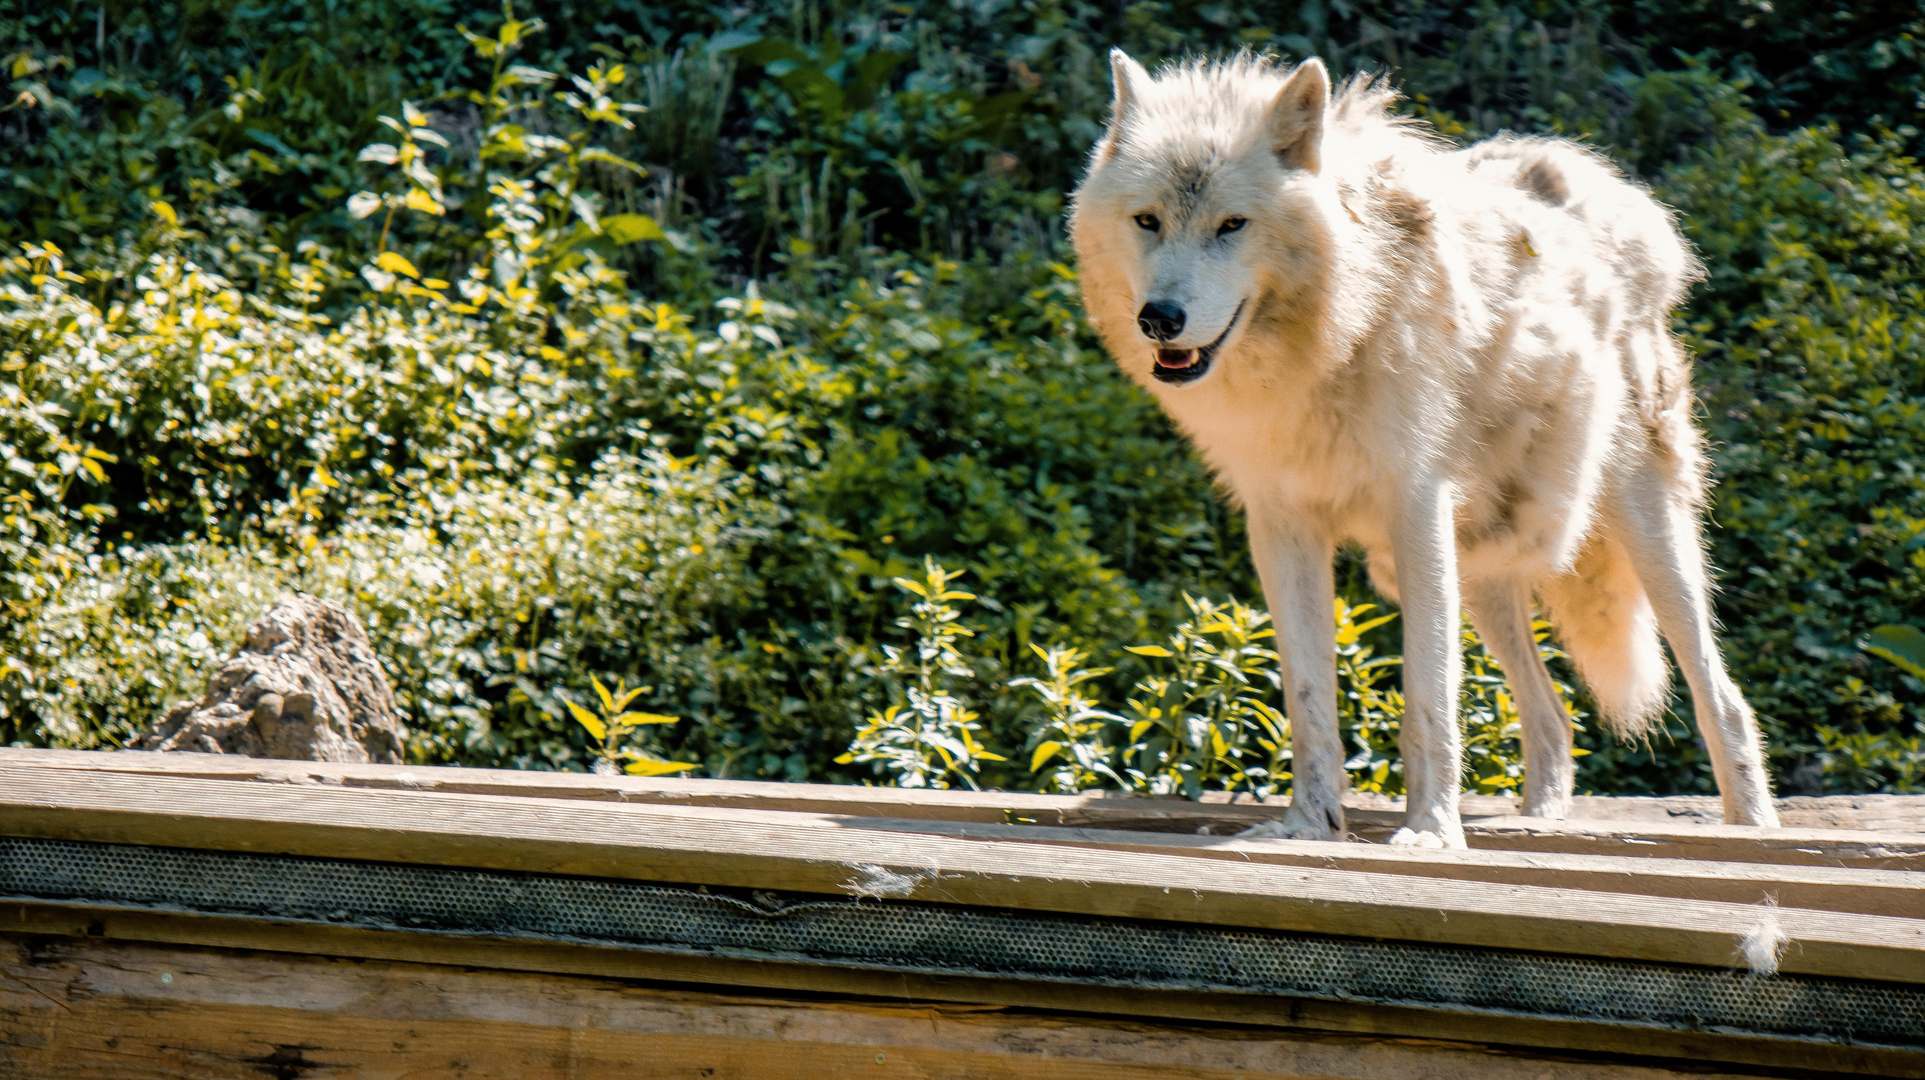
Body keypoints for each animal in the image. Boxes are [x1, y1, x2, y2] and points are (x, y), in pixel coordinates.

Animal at [1070, 50, 1771, 843]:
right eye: (1147, 221)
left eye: (1231, 225)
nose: (1159, 318)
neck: (1331, 344)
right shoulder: (1281, 524)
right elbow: (1308, 699)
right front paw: (1308, 826)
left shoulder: (1415, 505)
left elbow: (1428, 694)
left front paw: (1432, 831)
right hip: (1485, 567)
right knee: (1555, 717)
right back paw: (1539, 822)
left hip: (1642, 534)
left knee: (1722, 698)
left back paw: (1751, 830)